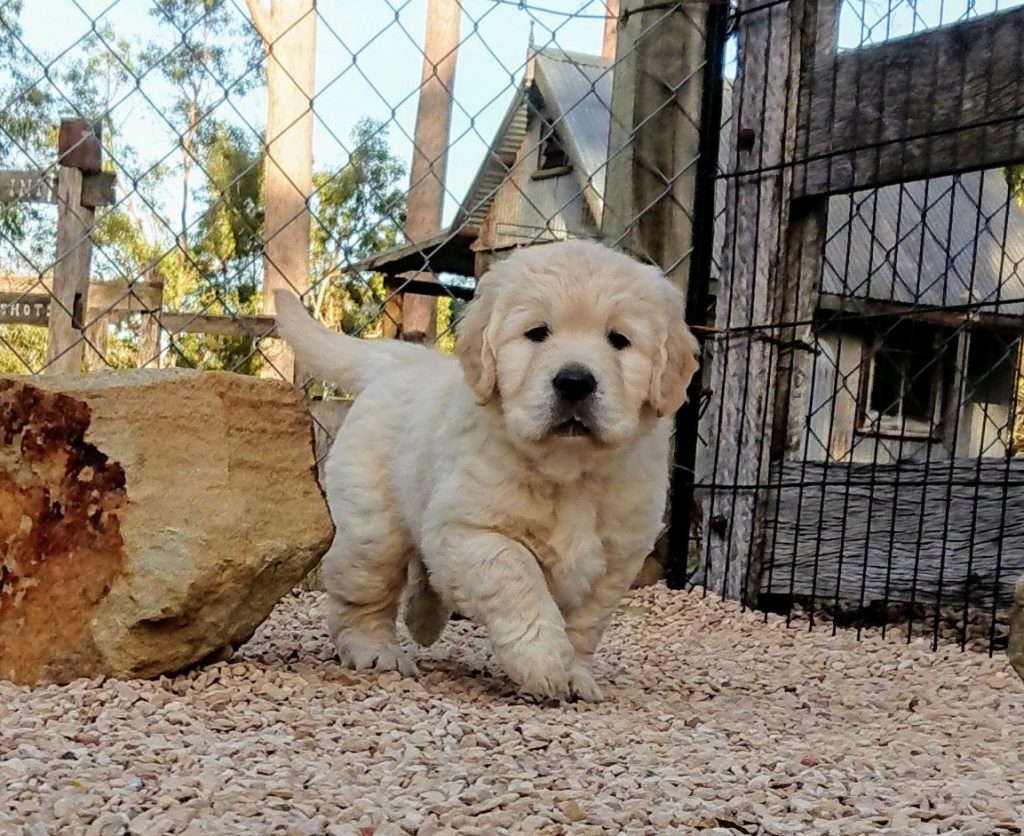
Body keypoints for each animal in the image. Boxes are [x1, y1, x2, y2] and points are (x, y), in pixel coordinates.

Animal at [276, 236, 700, 700]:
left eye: (618, 339)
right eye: (537, 333)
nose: (574, 382)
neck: (570, 472)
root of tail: (399, 360)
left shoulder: (616, 559)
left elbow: (586, 624)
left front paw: (575, 673)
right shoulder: (469, 530)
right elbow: (516, 576)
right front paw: (542, 661)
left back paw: (423, 621)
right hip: (371, 527)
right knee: (364, 594)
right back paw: (375, 651)